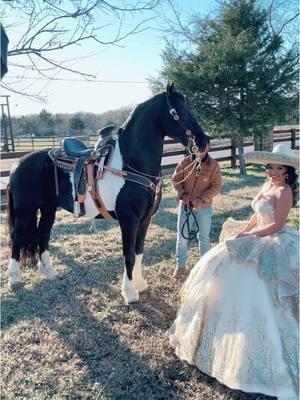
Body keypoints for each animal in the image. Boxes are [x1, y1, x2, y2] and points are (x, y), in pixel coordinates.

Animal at [6, 84, 206, 304]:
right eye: (181, 112)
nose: (204, 141)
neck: (131, 165)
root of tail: (18, 164)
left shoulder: (145, 220)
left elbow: (139, 252)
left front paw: (140, 284)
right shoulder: (129, 221)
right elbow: (129, 255)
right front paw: (129, 293)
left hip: (48, 209)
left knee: (42, 235)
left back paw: (49, 273)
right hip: (25, 211)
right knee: (17, 238)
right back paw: (14, 279)